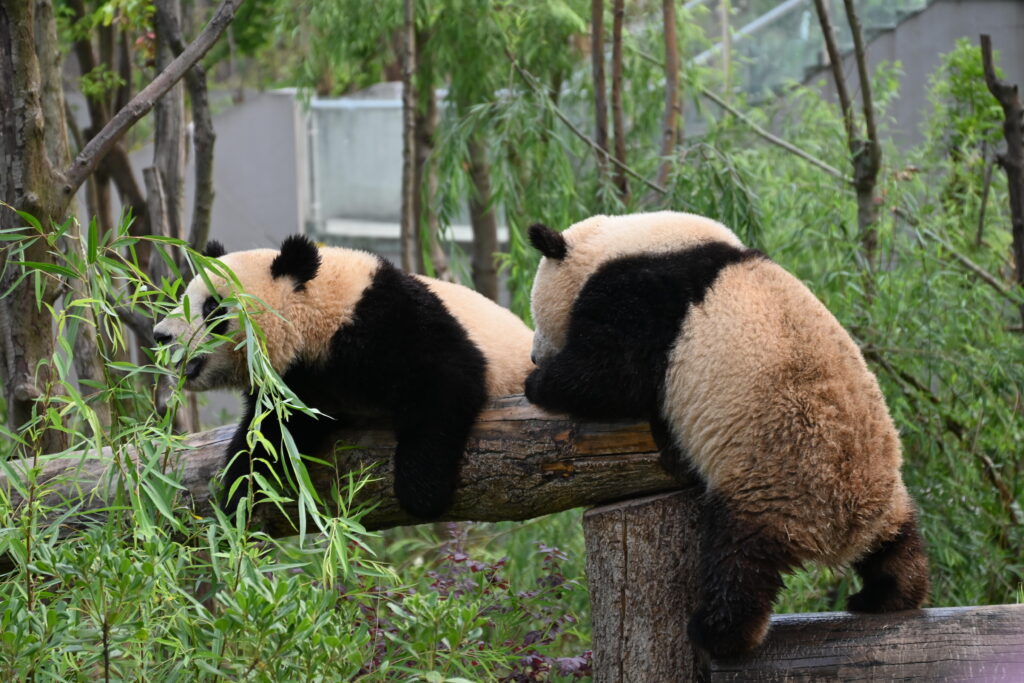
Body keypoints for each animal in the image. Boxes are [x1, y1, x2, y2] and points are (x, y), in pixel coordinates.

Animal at [152, 235, 534, 520]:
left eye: (212, 308)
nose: (160, 336)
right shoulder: (298, 383)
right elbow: (272, 433)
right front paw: (237, 491)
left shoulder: (387, 321)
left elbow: (446, 381)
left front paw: (421, 491)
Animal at [524, 211, 929, 657]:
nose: (534, 355)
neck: (633, 240)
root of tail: (844, 530)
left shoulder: (646, 296)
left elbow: (612, 375)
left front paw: (539, 383)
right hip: (884, 494)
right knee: (897, 546)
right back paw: (888, 596)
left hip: (775, 489)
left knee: (738, 564)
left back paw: (717, 634)